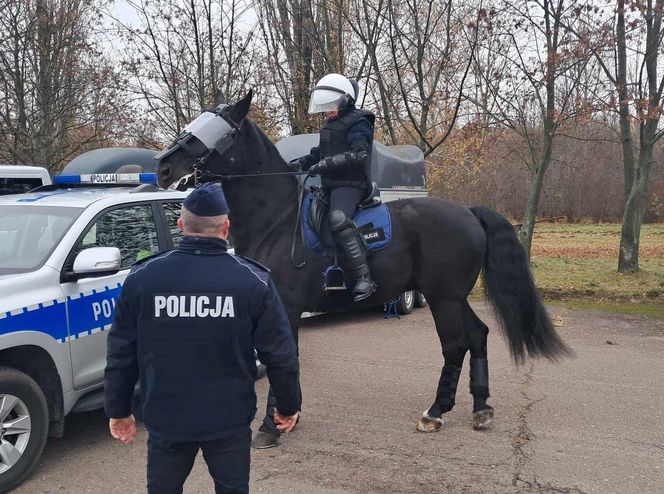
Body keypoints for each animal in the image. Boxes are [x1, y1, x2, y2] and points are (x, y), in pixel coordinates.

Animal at [156, 91, 572, 448]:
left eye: (218, 130)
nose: (163, 168)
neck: (276, 219)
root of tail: (468, 212)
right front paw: (288, 418)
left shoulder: (284, 307)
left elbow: (282, 360)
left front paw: (272, 426)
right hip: (452, 298)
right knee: (478, 335)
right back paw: (481, 408)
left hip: (443, 299)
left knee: (455, 345)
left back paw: (436, 412)